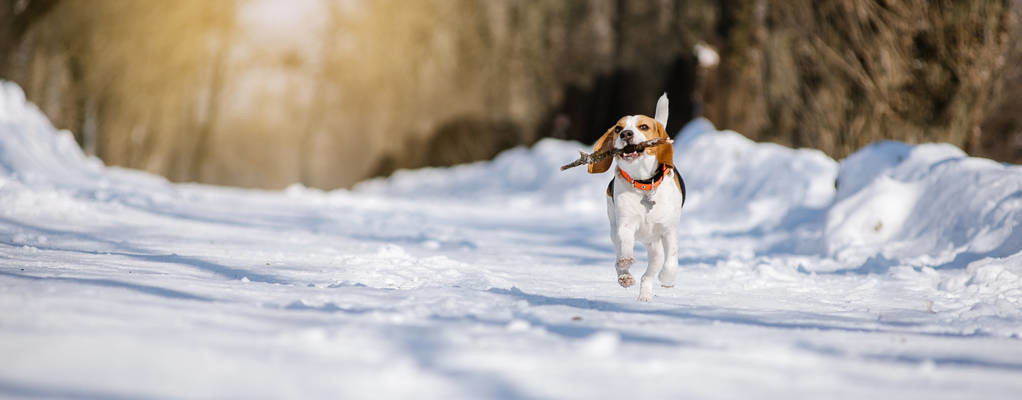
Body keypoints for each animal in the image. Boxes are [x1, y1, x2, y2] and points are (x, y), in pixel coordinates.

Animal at [588, 93, 682, 300]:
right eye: (618, 128)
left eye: (644, 127)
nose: (626, 134)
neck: (644, 184)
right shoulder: (625, 225)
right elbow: (626, 246)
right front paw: (626, 261)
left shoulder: (668, 229)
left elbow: (671, 260)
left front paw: (667, 279)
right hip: (614, 230)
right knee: (620, 259)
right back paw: (625, 276)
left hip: (655, 248)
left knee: (650, 273)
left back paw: (645, 294)